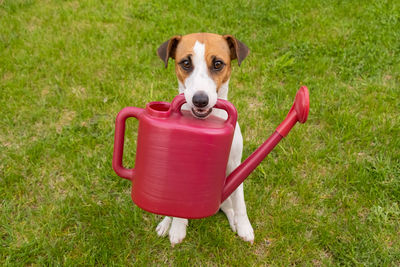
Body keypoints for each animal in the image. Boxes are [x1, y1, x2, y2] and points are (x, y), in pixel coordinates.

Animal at [155, 33, 253, 247]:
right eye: (185, 63)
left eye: (218, 64)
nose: (200, 100)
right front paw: (177, 227)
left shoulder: (235, 164)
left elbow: (240, 200)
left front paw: (244, 226)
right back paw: (166, 222)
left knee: (227, 205)